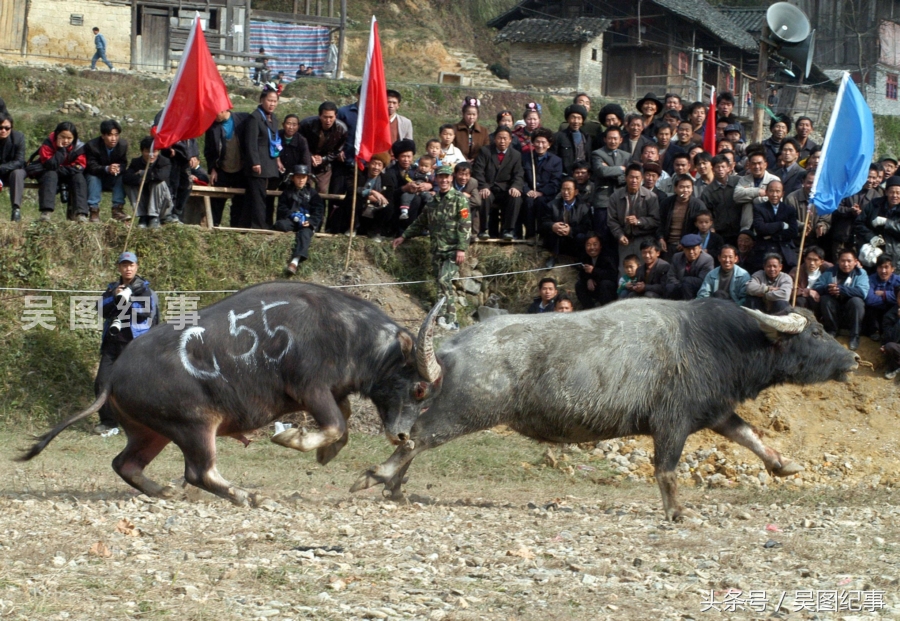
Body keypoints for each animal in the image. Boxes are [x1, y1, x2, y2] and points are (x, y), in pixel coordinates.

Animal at [19, 284, 444, 506]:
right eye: (419, 387)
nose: (403, 435)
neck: (345, 333)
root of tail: (115, 374)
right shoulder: (310, 388)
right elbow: (337, 424)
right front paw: (293, 439)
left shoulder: (332, 393)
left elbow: (344, 423)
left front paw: (325, 453)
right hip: (194, 425)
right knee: (199, 471)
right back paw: (245, 495)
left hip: (151, 431)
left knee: (126, 464)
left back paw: (165, 491)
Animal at [352, 296, 856, 520]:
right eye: (814, 332)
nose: (851, 358)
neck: (718, 341)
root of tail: (452, 348)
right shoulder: (672, 425)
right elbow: (666, 470)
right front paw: (676, 512)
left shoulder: (713, 412)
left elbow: (750, 434)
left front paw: (785, 465)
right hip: (469, 409)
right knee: (416, 437)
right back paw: (378, 477)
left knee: (414, 439)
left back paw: (395, 487)